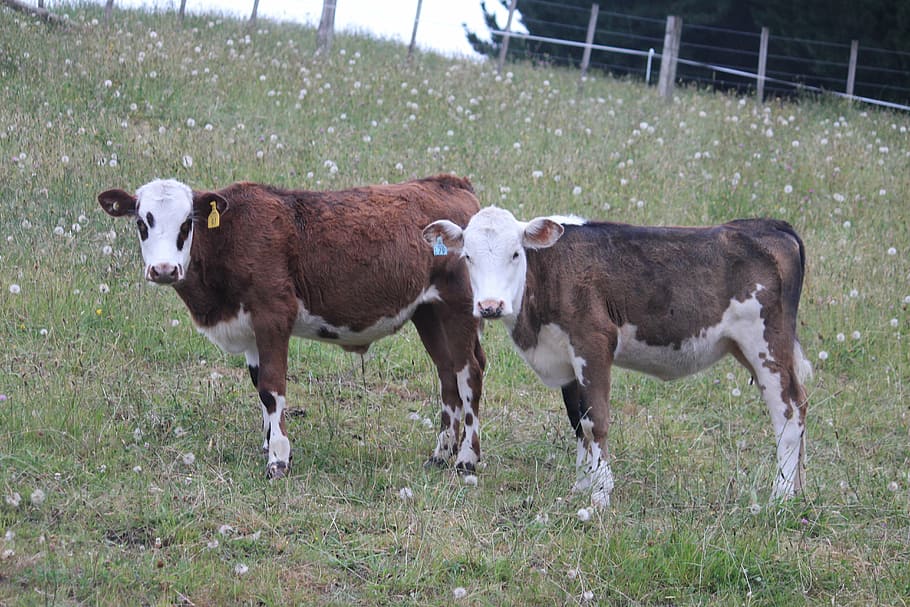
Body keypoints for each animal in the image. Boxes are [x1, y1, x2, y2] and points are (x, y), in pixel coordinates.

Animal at [98, 175, 486, 479]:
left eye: (186, 223)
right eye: (142, 223)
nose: (164, 270)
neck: (231, 237)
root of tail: (451, 182)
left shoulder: (272, 315)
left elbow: (272, 388)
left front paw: (278, 458)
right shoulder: (250, 329)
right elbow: (259, 387)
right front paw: (269, 443)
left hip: (459, 309)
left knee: (470, 374)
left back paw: (466, 458)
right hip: (429, 313)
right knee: (448, 374)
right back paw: (441, 453)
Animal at [423, 207, 811, 508]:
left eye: (516, 254)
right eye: (468, 256)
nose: (490, 306)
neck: (549, 274)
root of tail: (770, 225)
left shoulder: (594, 343)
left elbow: (597, 422)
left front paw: (600, 493)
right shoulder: (567, 360)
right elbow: (579, 422)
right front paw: (581, 486)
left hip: (766, 345)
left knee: (788, 411)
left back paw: (780, 494)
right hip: (747, 347)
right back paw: (797, 491)